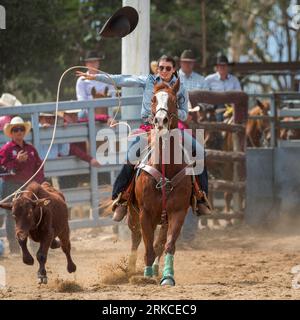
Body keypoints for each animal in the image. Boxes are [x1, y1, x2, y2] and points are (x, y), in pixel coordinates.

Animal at [126, 79, 192, 284]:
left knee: (160, 242)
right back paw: (131, 269)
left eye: (174, 100)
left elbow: (167, 245)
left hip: (163, 218)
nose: (160, 120)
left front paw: (168, 276)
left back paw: (156, 269)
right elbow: (147, 246)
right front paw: (146, 275)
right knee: (136, 238)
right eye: (153, 99)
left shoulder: (178, 212)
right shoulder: (145, 213)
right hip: (132, 213)